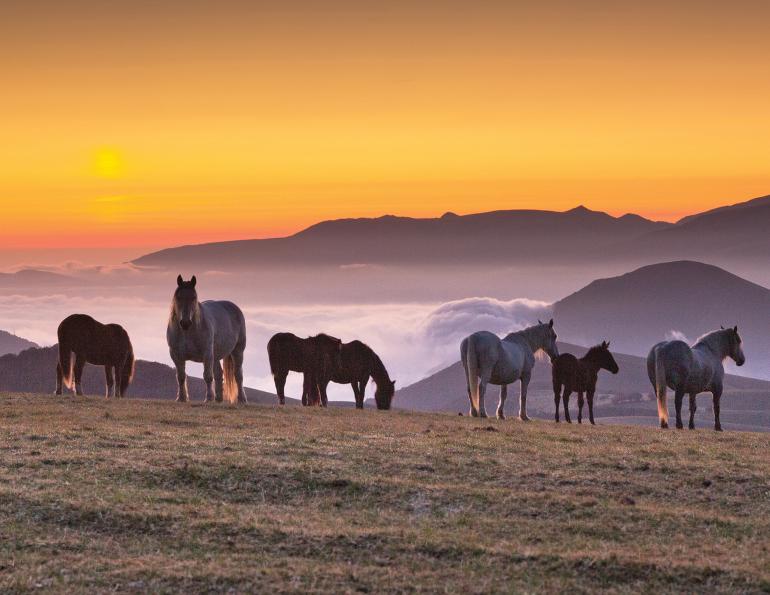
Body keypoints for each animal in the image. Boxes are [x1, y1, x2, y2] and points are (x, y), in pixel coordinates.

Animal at [167, 275, 248, 403]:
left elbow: (208, 376)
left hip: (237, 351)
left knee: (238, 375)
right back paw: (218, 399)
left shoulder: (207, 354)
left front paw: (208, 398)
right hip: (215, 356)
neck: (187, 332)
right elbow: (180, 377)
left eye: (194, 297)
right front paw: (181, 398)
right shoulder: (176, 355)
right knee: (219, 374)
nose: (185, 323)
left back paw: (241, 399)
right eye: (178, 298)